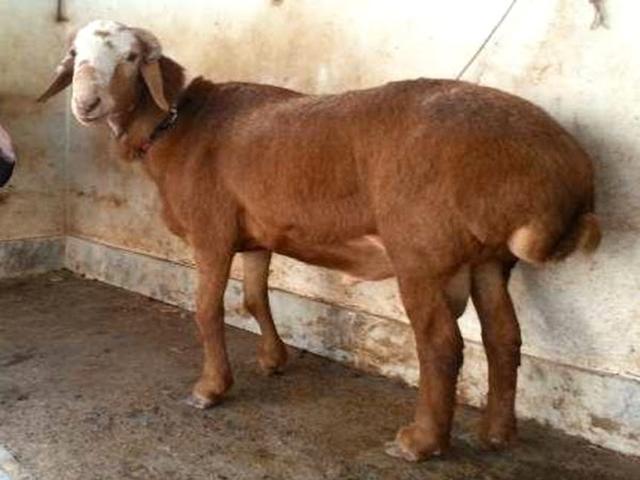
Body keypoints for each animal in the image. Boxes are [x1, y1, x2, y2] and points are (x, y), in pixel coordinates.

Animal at [38, 20, 601, 462]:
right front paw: (273, 360)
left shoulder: (212, 232)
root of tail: (563, 169)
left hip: (420, 251)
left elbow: (207, 309)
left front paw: (211, 388)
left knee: (442, 345)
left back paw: (421, 442)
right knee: (504, 337)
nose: (86, 103)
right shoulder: (257, 234)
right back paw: (497, 434)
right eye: (76, 57)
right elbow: (254, 297)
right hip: (490, 258)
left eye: (131, 58)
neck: (176, 128)